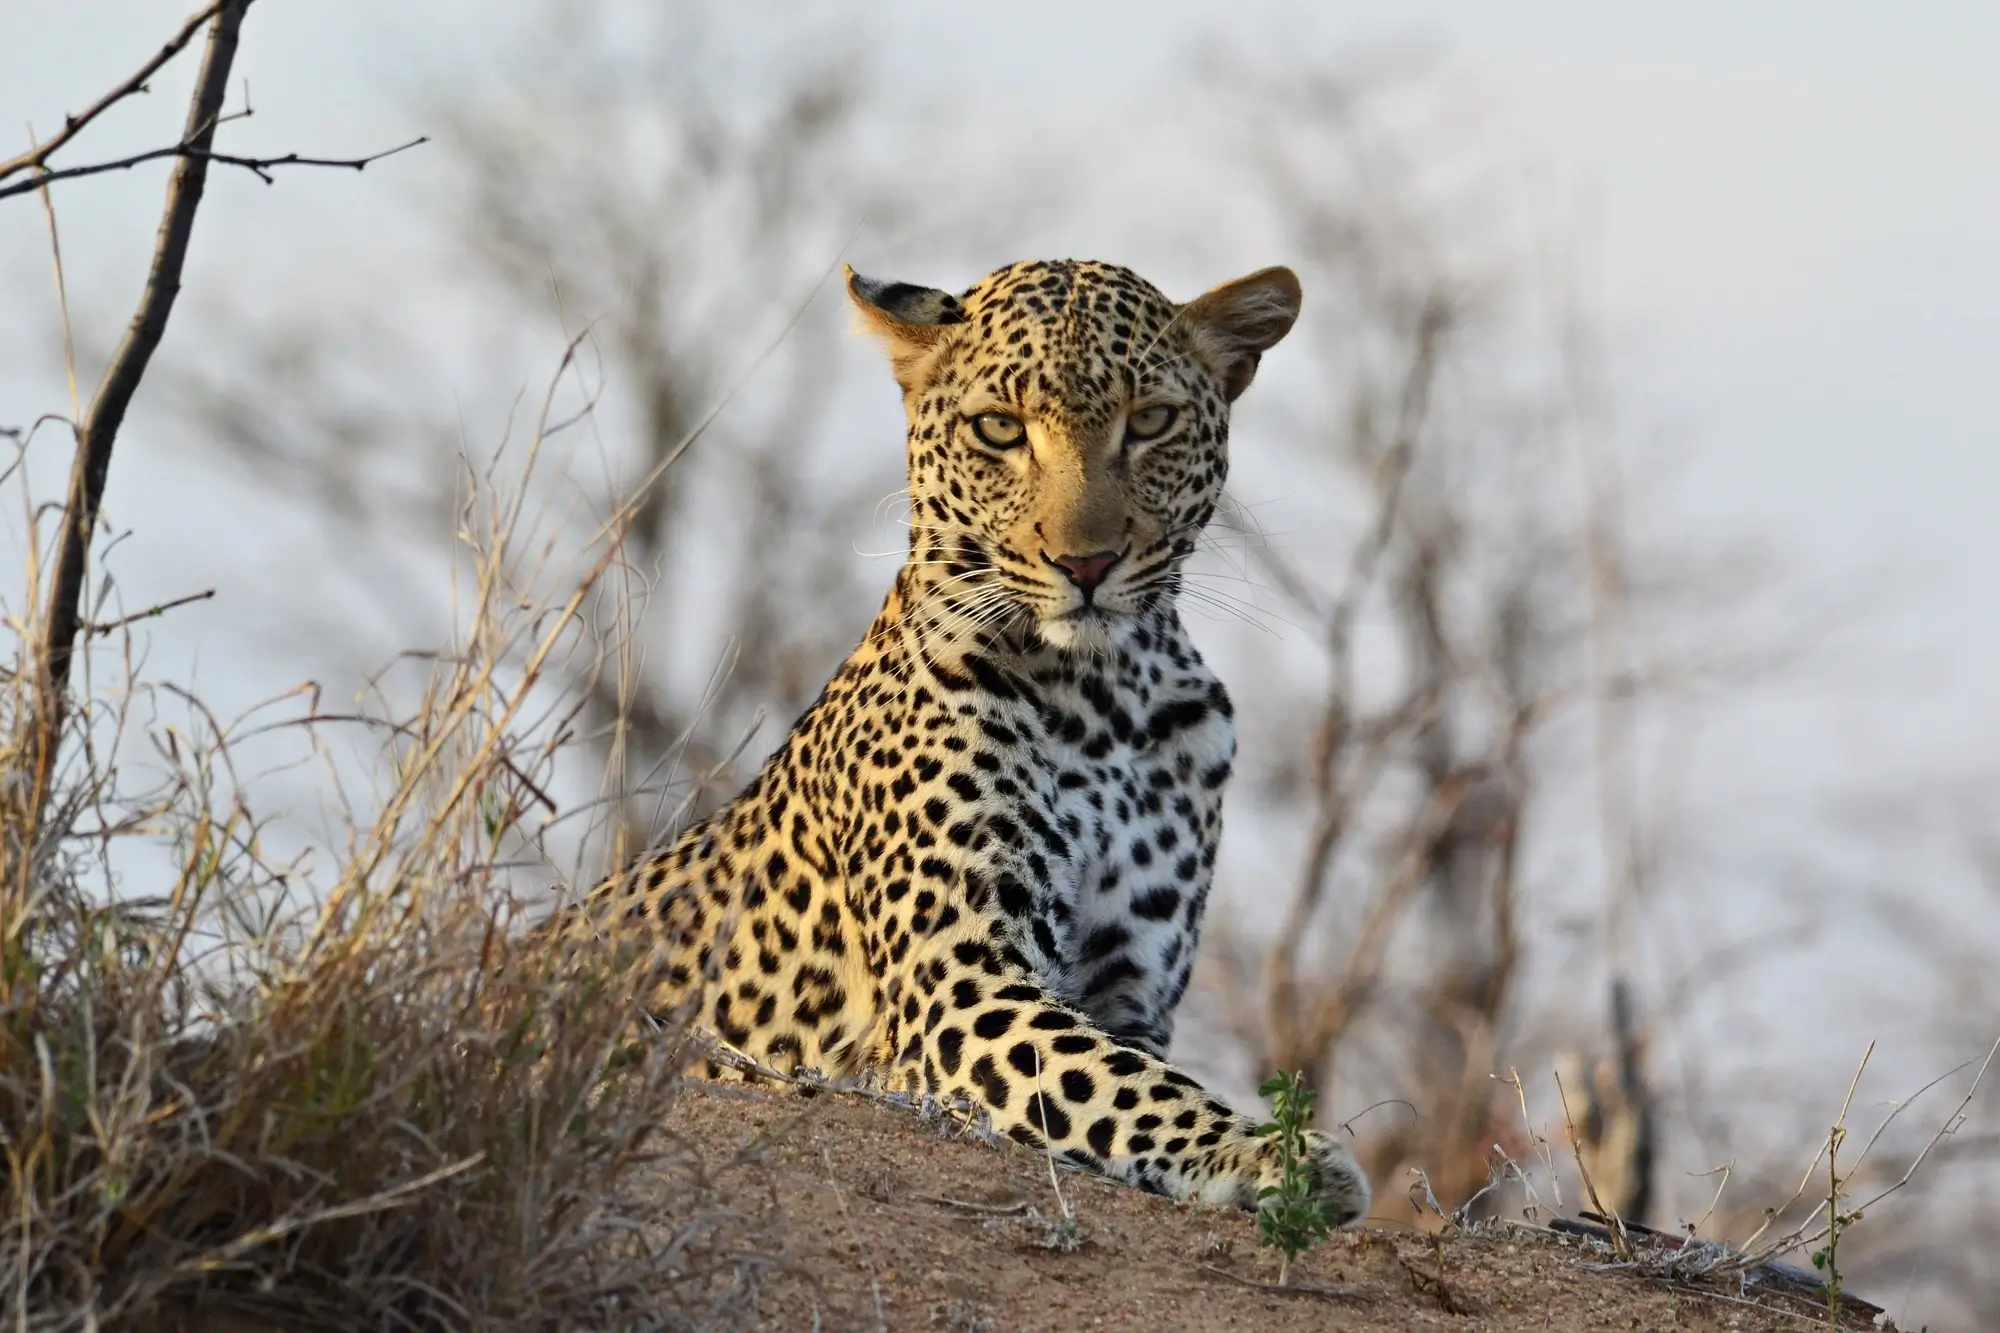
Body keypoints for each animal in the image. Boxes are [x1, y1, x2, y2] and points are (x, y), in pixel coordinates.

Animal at [580, 254, 1376, 1216]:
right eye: (1000, 429)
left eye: (1149, 422)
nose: (1086, 563)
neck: (1106, 695)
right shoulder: (960, 981)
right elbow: (1118, 1085)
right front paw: (1270, 1156)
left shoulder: (1130, 990)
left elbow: (1128, 1074)